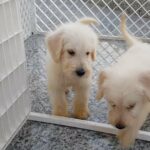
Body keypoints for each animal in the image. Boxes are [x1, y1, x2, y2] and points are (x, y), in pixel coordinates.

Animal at [96, 15, 150, 148]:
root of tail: (140, 44)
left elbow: (137, 119)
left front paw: (126, 138)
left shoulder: (145, 103)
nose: (119, 126)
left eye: (131, 106)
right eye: (112, 103)